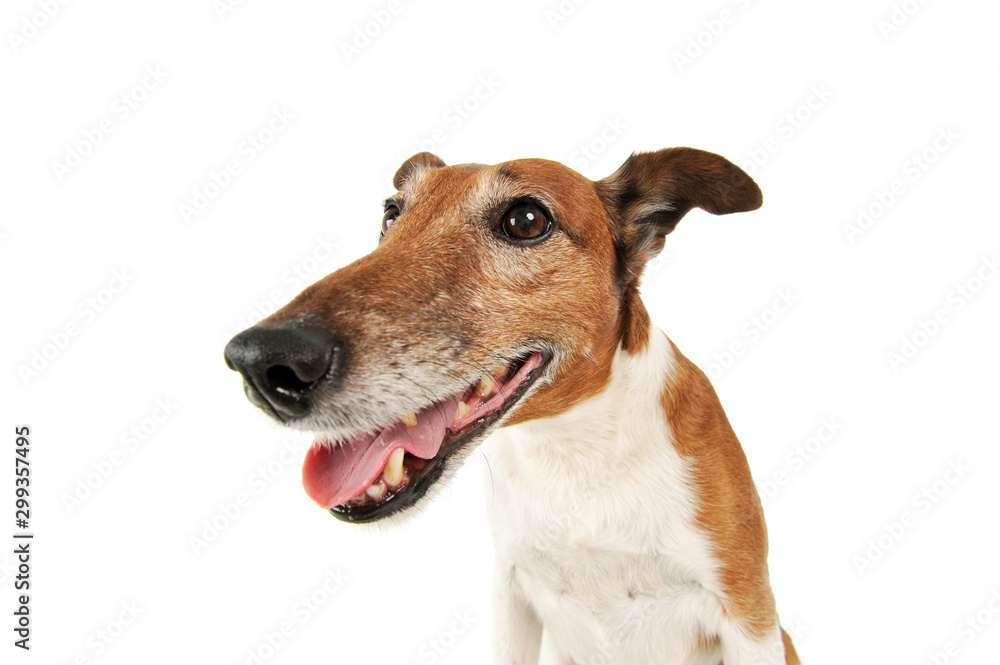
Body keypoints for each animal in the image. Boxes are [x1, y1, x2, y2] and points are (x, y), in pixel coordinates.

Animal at [225, 148, 796, 660]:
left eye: (526, 220)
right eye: (390, 215)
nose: (258, 361)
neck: (575, 448)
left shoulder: (749, 611)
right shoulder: (512, 594)